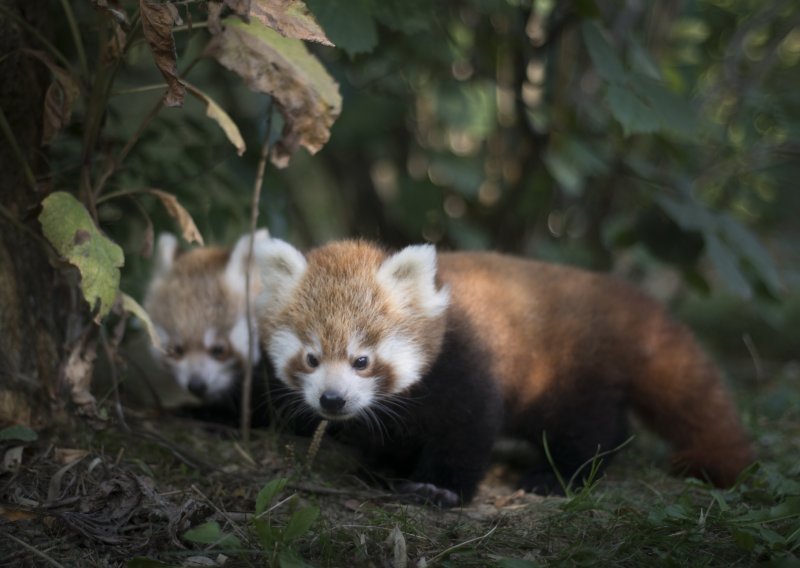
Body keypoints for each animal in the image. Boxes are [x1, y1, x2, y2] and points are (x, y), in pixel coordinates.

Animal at [255, 239, 756, 506]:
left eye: (362, 360)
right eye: (311, 358)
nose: (332, 400)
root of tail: (619, 303)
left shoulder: (465, 367)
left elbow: (467, 432)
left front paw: (437, 488)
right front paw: (382, 469)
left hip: (567, 374)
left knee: (589, 428)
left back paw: (557, 476)